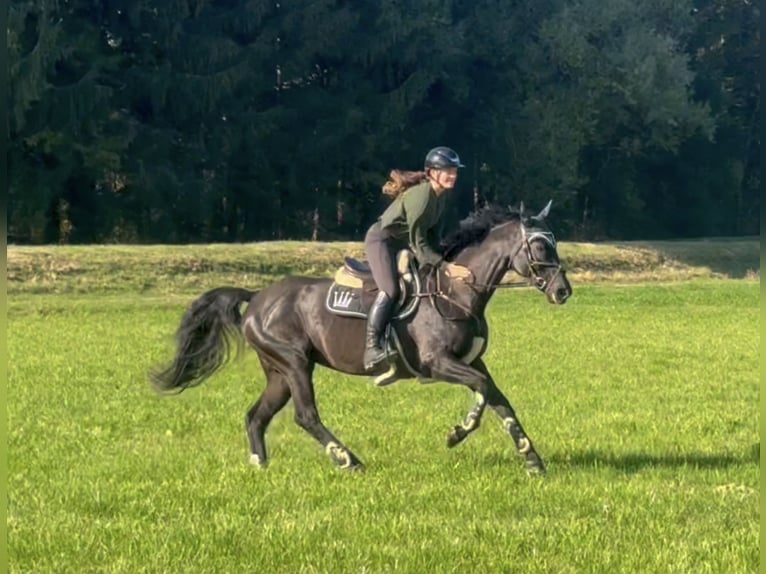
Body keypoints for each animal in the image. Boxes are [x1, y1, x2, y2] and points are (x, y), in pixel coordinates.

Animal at [152, 202, 568, 476]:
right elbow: (482, 391)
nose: (563, 291)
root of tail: (256, 298)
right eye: (539, 246)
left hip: (278, 372)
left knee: (257, 416)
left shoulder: (470, 361)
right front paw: (457, 433)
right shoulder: (438, 363)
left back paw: (260, 465)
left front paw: (532, 459)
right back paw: (349, 460)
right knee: (305, 415)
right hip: (295, 363)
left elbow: (499, 400)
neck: (456, 290)